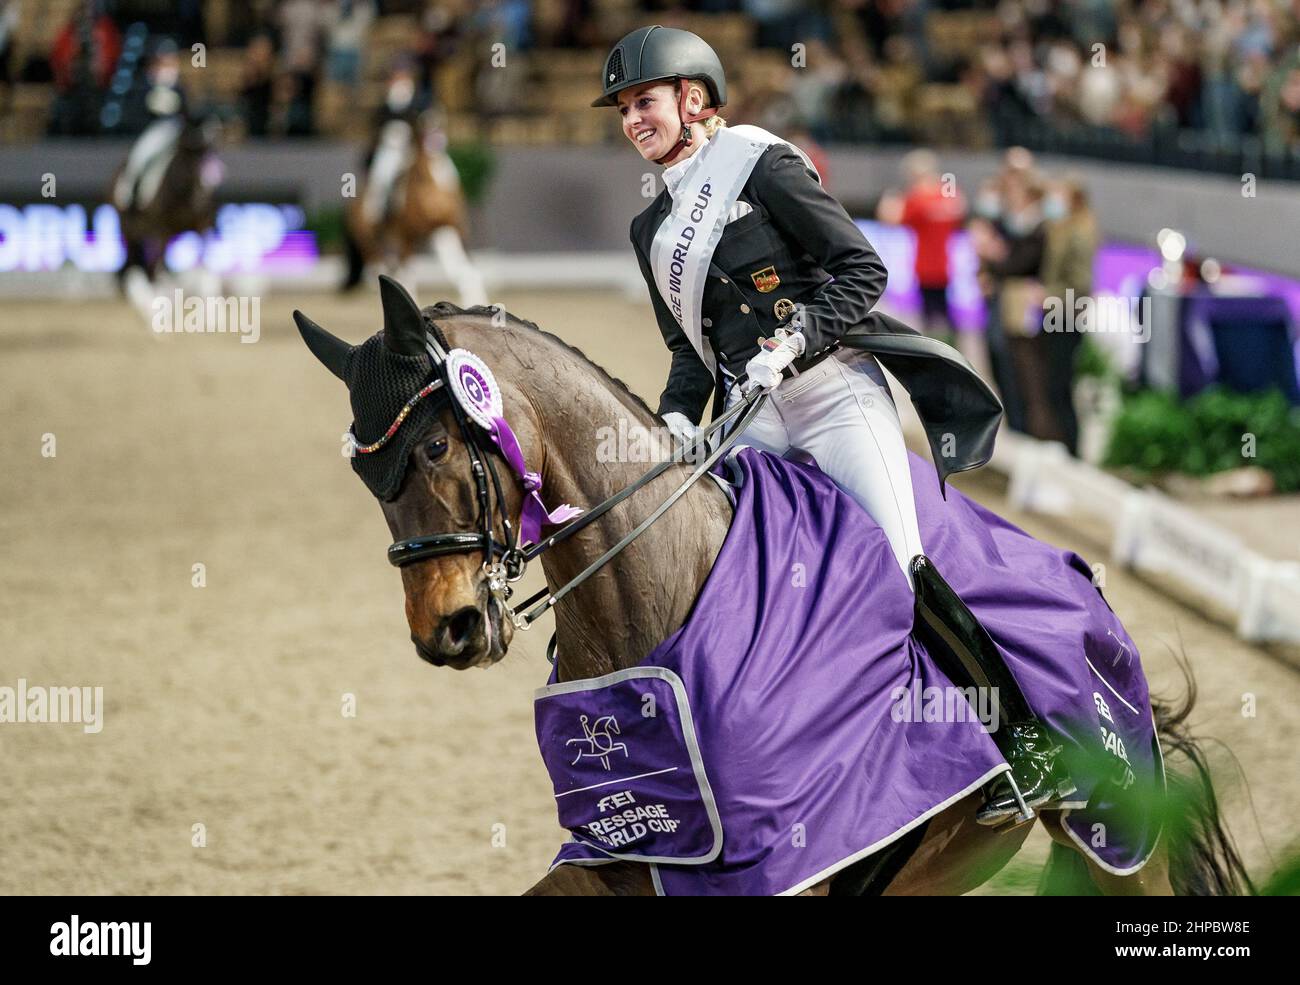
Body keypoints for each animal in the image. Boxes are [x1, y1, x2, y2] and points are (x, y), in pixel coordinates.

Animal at [292, 281, 1248, 899]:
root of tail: (1084, 583)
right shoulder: (625, 860)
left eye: (437, 447)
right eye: (367, 475)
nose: (445, 629)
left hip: (1120, 841)